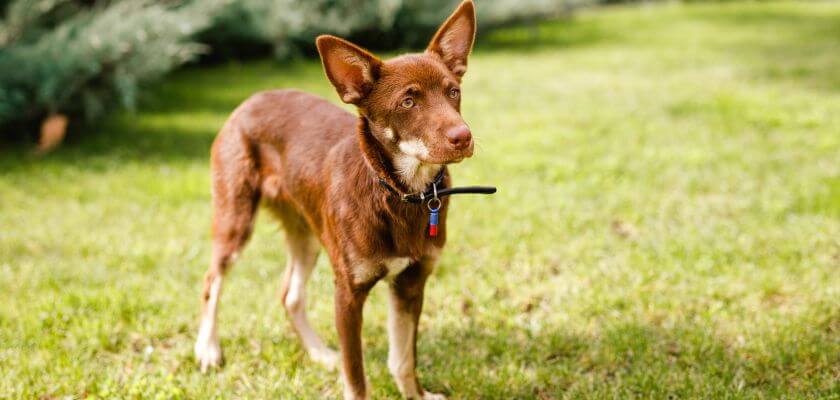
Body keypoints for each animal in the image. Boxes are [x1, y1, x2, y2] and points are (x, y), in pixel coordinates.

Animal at [193, 2, 476, 396]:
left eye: (453, 92)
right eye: (408, 101)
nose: (463, 137)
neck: (400, 194)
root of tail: (251, 99)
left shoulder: (411, 283)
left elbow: (404, 359)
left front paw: (416, 395)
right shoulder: (348, 294)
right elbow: (356, 378)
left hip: (307, 233)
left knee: (290, 295)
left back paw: (320, 354)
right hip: (235, 219)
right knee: (211, 280)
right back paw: (208, 349)